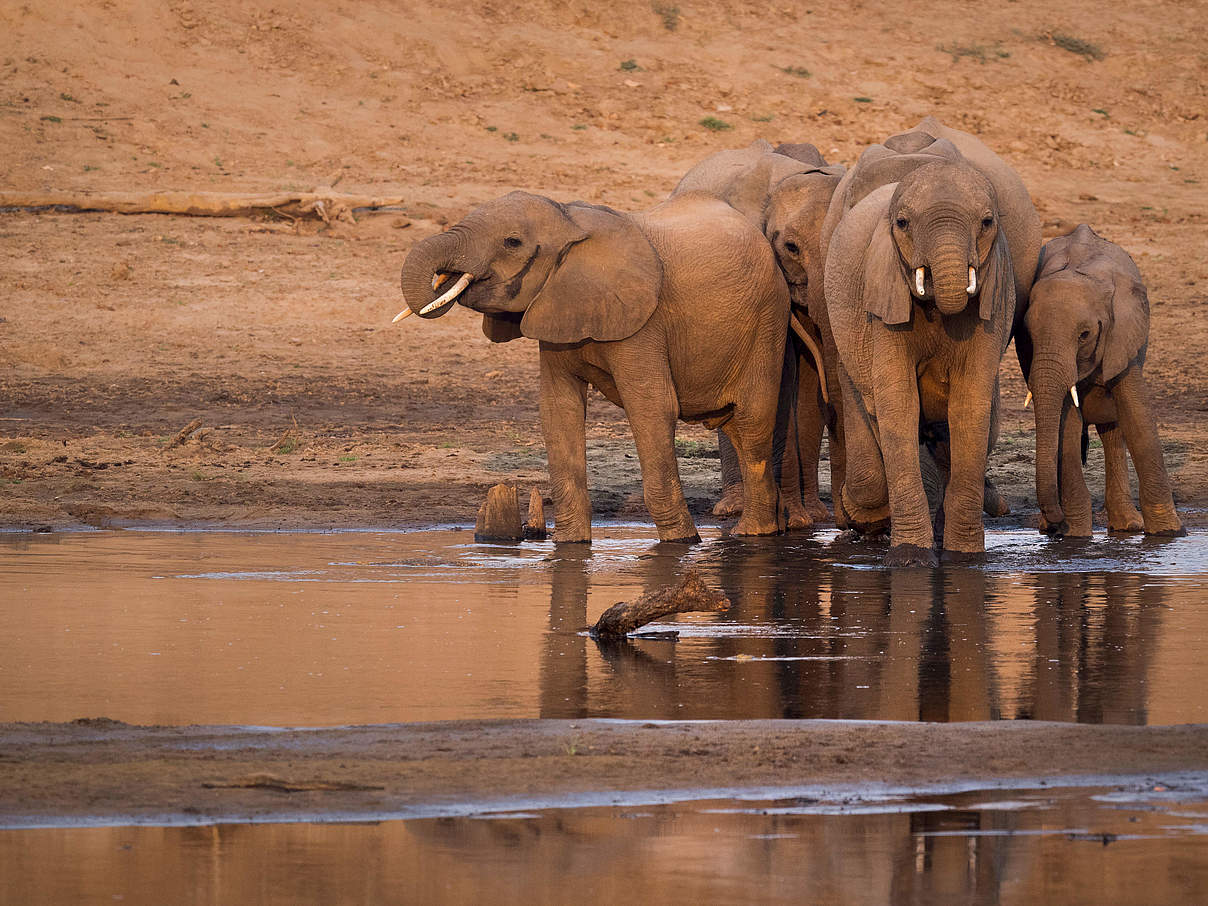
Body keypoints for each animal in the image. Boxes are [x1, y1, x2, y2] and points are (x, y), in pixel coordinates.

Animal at [396, 190, 792, 543]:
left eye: (512, 242)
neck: (569, 220)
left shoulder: (643, 322)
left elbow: (653, 408)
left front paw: (682, 543)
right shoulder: (557, 308)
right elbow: (559, 411)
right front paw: (570, 545)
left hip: (769, 321)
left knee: (753, 424)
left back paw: (751, 535)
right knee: (738, 429)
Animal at [671, 138, 850, 529]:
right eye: (791, 248)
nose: (847, 521)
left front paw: (802, 520)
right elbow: (781, 379)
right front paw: (794, 522)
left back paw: (815, 512)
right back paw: (732, 508)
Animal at [1014, 227, 1183, 538]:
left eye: (1084, 335)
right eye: (1027, 335)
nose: (1056, 526)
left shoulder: (1122, 337)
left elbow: (1138, 420)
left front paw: (1169, 533)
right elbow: (1067, 425)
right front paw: (1075, 536)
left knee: (1113, 430)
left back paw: (1127, 526)